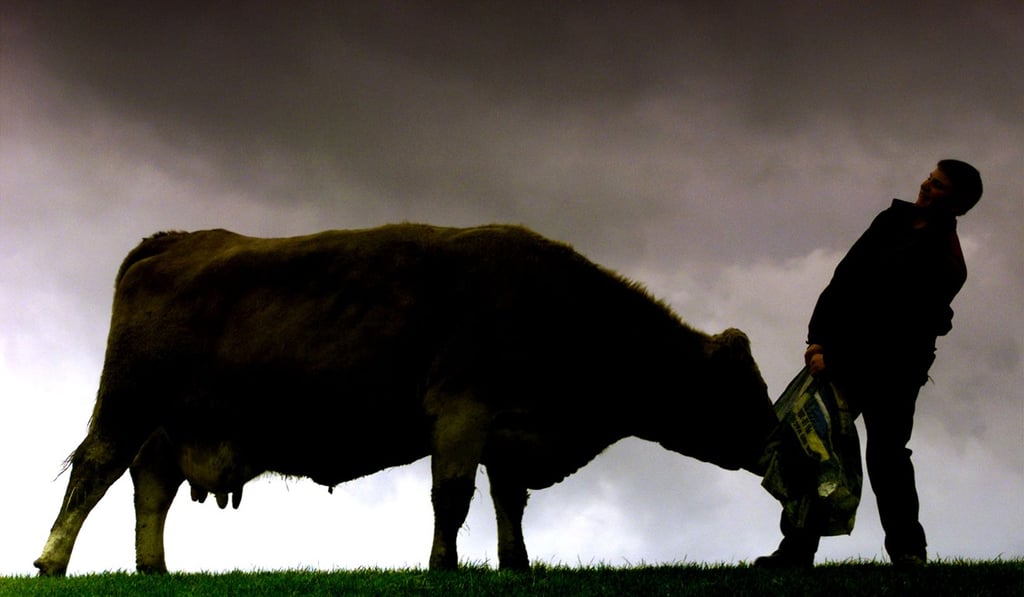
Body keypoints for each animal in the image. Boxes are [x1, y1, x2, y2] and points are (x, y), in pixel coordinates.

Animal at [35, 224, 777, 576]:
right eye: (746, 389)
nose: (779, 444)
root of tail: (178, 239)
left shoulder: (507, 428)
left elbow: (509, 501)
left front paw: (515, 564)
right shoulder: (461, 409)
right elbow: (452, 495)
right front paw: (443, 566)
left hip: (165, 427)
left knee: (149, 488)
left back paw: (154, 567)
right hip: (128, 400)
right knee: (94, 470)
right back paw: (52, 561)